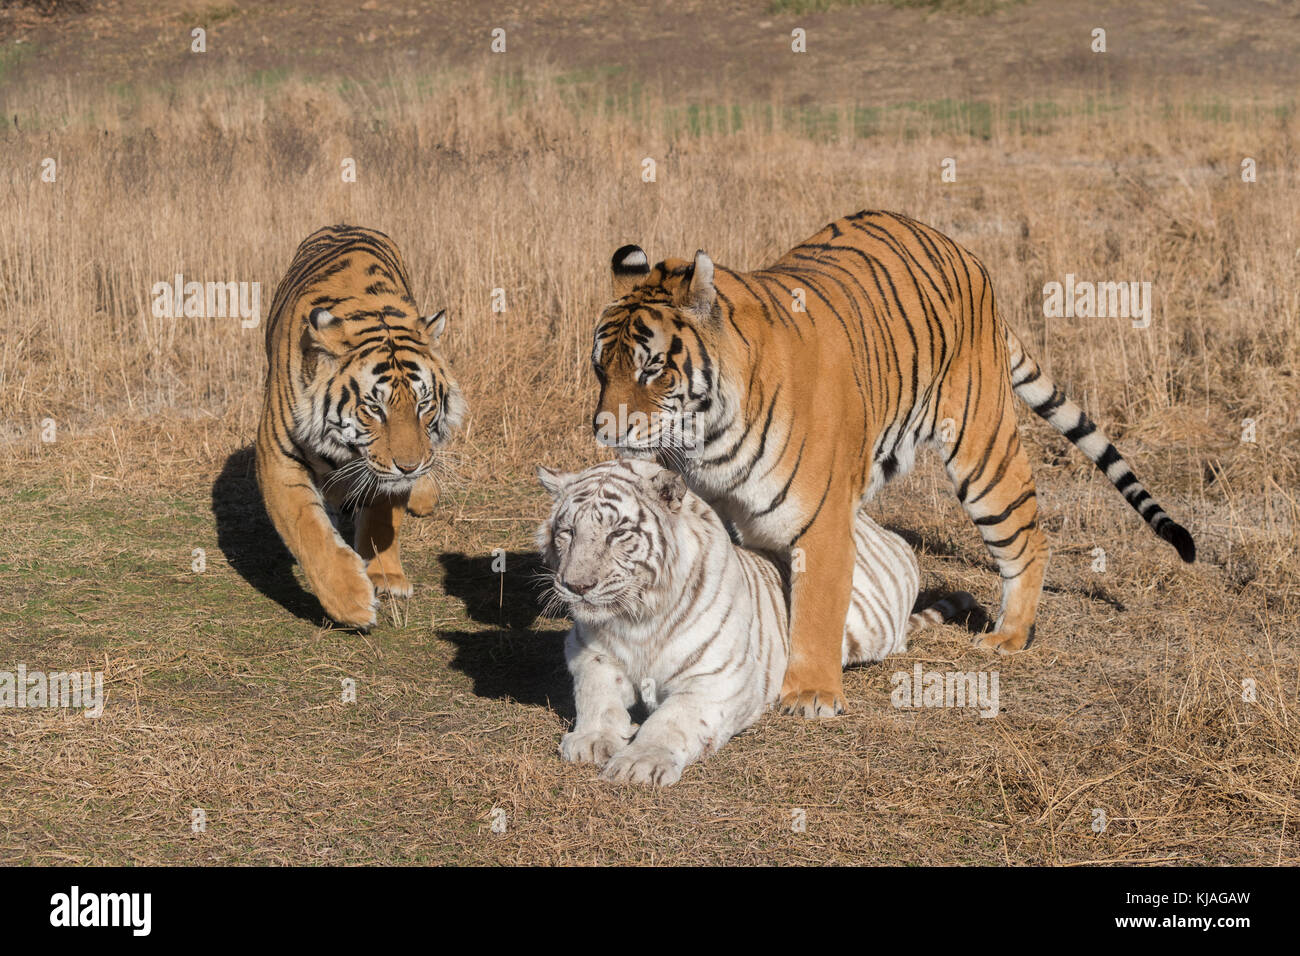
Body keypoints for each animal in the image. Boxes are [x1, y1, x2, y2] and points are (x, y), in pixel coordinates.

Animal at [254, 223, 467, 629]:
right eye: (374, 408)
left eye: (423, 405)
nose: (410, 466)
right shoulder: (277, 453)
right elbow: (307, 528)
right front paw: (351, 602)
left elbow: (382, 518)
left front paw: (387, 577)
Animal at [533, 460, 972, 790]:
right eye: (567, 532)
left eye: (619, 533)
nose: (576, 586)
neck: (637, 618)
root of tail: (873, 524)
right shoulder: (589, 654)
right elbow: (596, 697)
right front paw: (592, 741)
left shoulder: (716, 679)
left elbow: (669, 722)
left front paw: (637, 763)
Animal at [592, 209, 1196, 717]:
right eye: (601, 368)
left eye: (651, 369)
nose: (604, 429)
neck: (711, 440)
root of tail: (963, 251)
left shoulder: (822, 521)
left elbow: (817, 607)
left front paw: (810, 694)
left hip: (981, 449)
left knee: (1027, 536)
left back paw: (1009, 634)